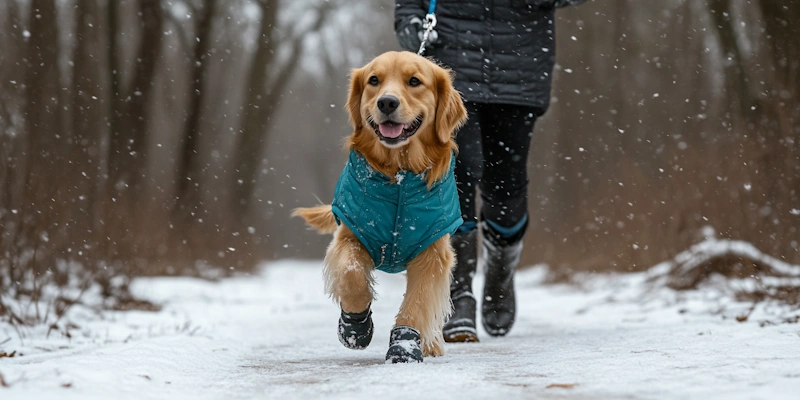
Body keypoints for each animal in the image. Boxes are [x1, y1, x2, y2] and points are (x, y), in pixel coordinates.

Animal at [292, 50, 468, 362]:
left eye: (414, 81)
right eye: (374, 80)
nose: (387, 102)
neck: (399, 175)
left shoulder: (433, 251)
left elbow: (418, 301)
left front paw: (405, 348)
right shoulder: (350, 234)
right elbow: (351, 274)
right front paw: (356, 327)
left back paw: (432, 343)